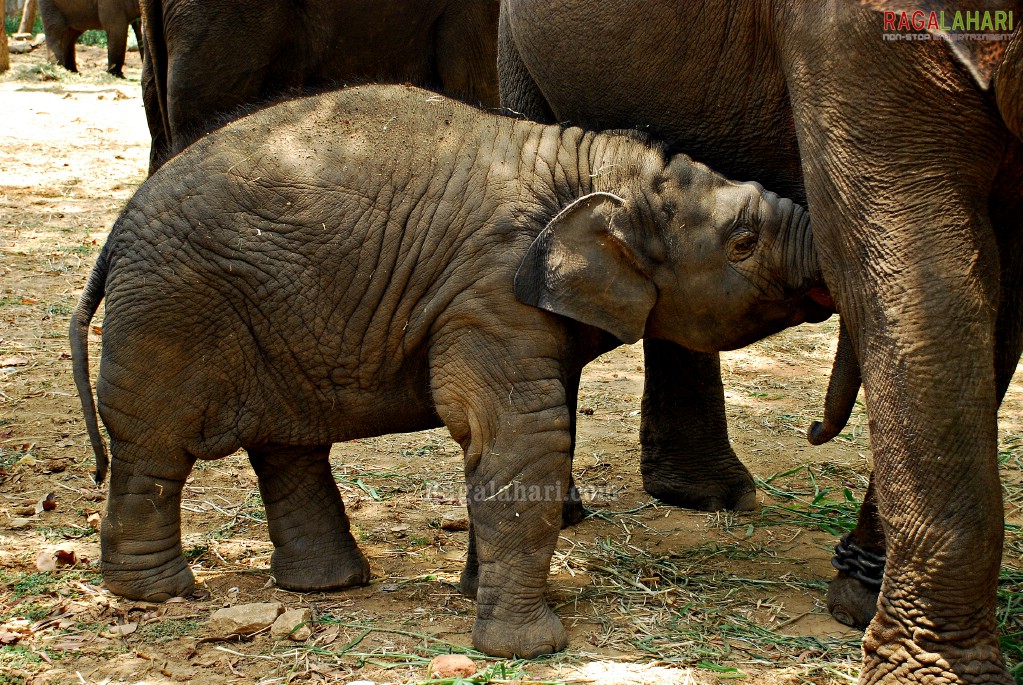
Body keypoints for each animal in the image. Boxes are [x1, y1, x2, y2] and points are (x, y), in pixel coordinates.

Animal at [72, 84, 834, 658]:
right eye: (743, 242)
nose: (817, 432)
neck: (594, 166)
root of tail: (113, 231)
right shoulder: (488, 289)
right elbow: (523, 437)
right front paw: (530, 649)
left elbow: (505, 445)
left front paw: (476, 597)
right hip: (170, 311)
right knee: (155, 448)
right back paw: (163, 594)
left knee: (286, 446)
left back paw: (325, 587)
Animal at [501, 0, 1023, 682]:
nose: (816, 430)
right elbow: (921, 268)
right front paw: (933, 671)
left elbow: (999, 292)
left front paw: (859, 603)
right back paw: (572, 513)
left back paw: (708, 497)